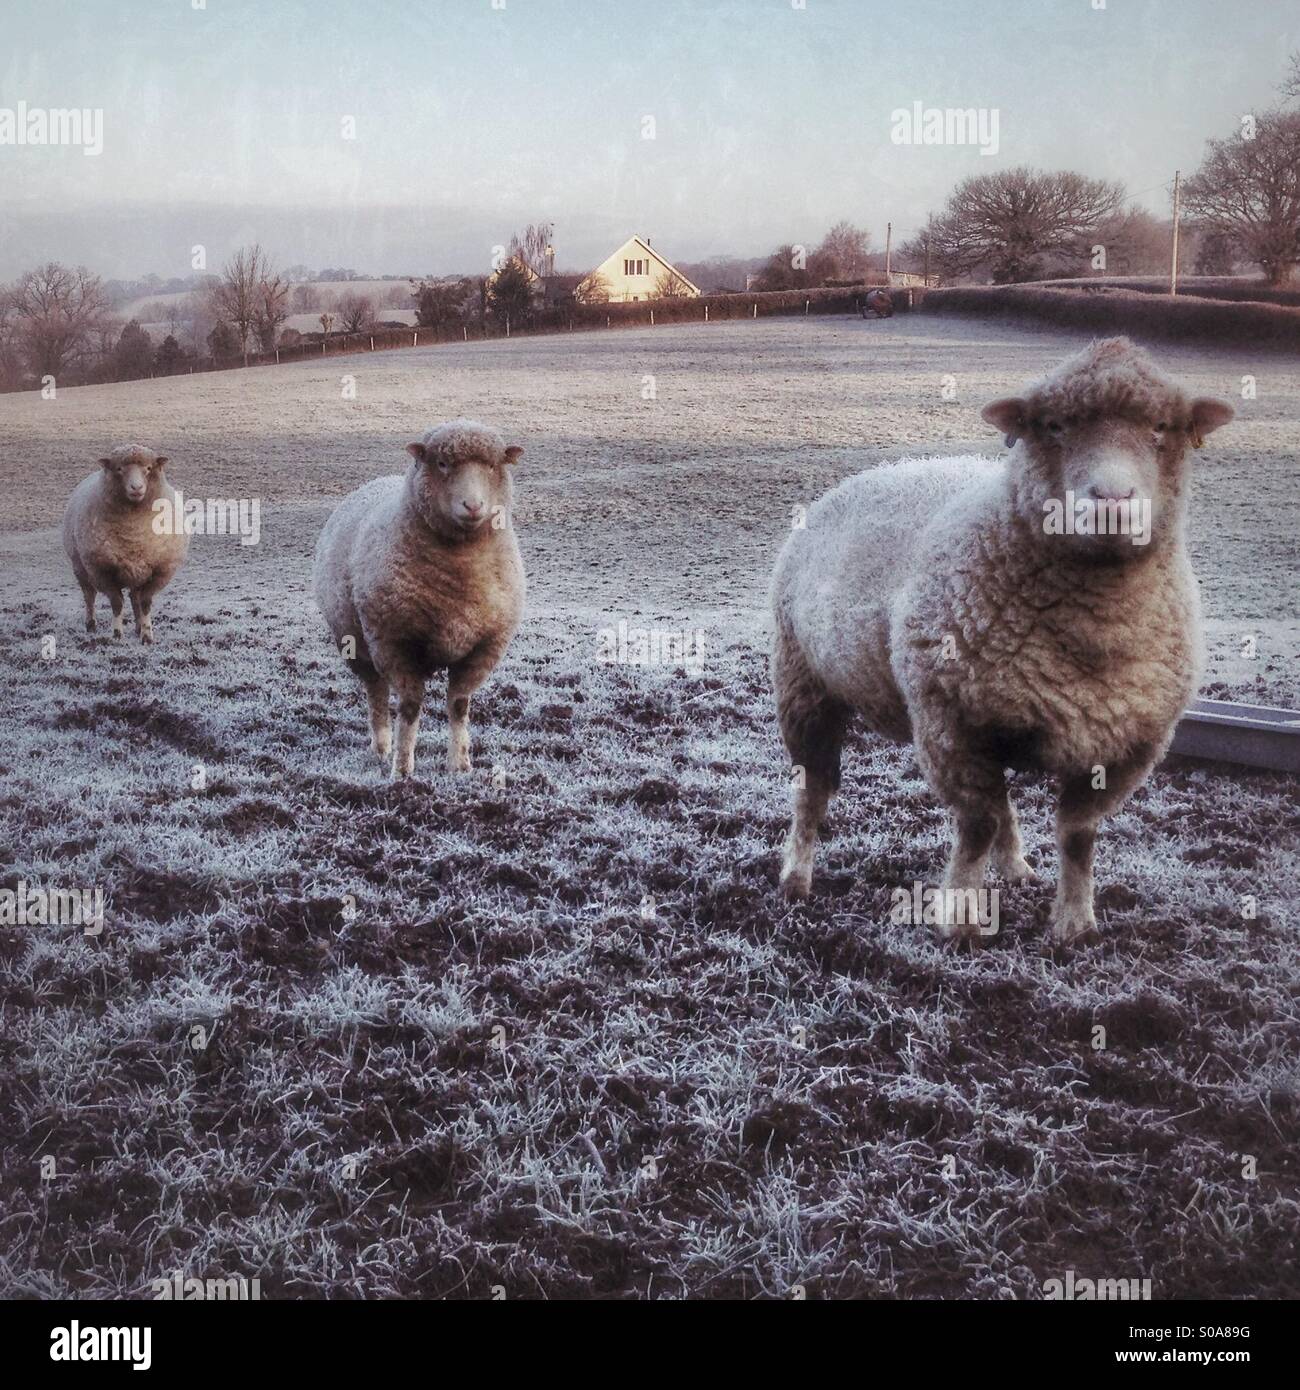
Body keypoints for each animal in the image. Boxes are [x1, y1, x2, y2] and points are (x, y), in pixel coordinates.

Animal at [62, 445, 189, 643]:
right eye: (119, 469)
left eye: (148, 468)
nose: (136, 487)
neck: (133, 531)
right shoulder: (102, 571)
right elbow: (116, 603)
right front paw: (117, 634)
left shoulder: (160, 571)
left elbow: (144, 603)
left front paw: (147, 636)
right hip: (80, 567)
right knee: (89, 596)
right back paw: (91, 624)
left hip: (137, 571)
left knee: (134, 598)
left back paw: (138, 628)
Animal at [313, 419, 525, 779]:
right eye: (442, 464)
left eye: (492, 466)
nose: (473, 506)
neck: (461, 569)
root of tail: (377, 480)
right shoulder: (395, 643)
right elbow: (410, 708)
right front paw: (402, 769)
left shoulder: (485, 647)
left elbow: (459, 705)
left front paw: (459, 764)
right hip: (355, 643)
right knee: (376, 693)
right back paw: (381, 747)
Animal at [770, 337, 1234, 945]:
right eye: (1055, 426)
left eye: (1161, 426)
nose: (1112, 500)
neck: (1094, 630)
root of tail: (876, 471)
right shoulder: (953, 723)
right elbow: (977, 825)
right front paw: (962, 919)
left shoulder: (1123, 746)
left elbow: (1077, 834)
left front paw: (1074, 923)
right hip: (804, 682)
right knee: (813, 789)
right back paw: (795, 878)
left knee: (1004, 799)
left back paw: (1016, 868)